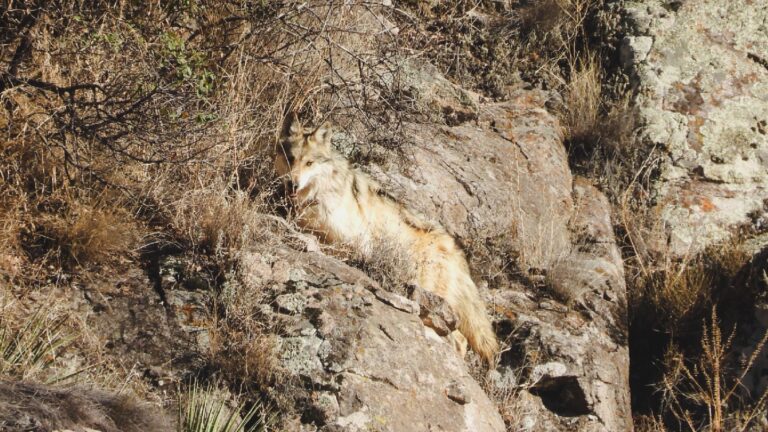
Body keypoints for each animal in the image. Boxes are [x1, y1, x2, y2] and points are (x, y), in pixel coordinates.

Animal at [275, 114, 499, 363]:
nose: (292, 183)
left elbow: (328, 245)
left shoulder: (357, 244)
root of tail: (457, 251)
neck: (318, 194)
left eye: (309, 163)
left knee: (458, 338)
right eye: (291, 159)